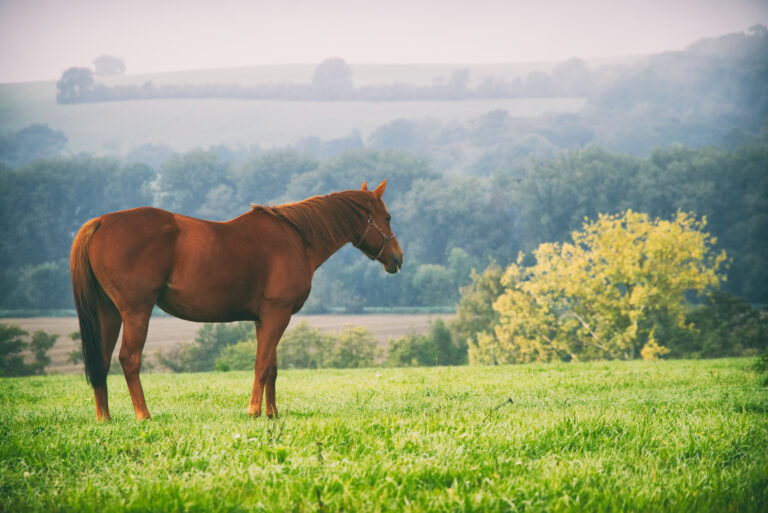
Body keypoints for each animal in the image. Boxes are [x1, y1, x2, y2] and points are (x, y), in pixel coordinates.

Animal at [70, 180, 403, 421]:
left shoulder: (264, 318)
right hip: (136, 311)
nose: (397, 258)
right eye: (387, 218)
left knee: (101, 361)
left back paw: (104, 417)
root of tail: (100, 222)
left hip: (109, 312)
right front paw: (254, 411)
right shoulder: (278, 313)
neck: (297, 239)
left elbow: (271, 367)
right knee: (129, 359)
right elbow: (261, 364)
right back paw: (143, 414)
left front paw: (272, 413)